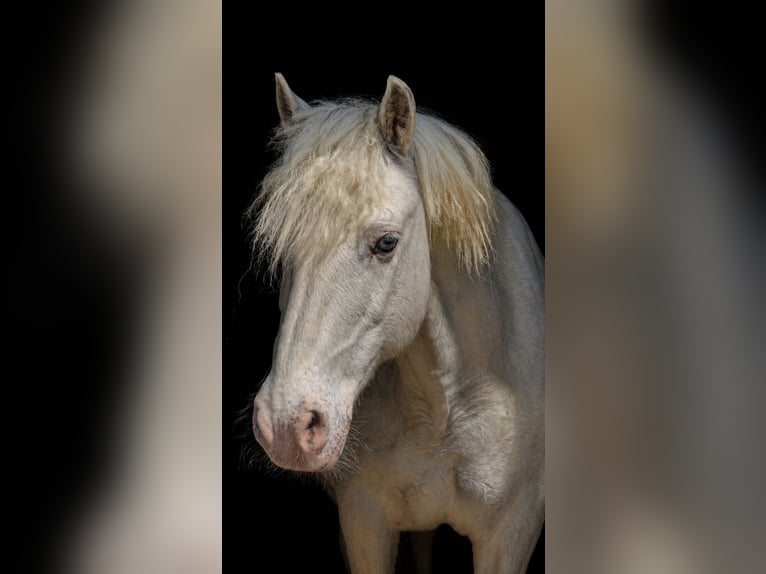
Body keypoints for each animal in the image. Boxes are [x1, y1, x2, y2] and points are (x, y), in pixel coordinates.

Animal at [248, 73, 544, 573]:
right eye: (281, 248)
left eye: (386, 243)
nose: (285, 427)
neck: (442, 412)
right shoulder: (364, 524)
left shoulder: (510, 535)